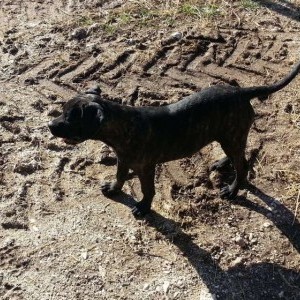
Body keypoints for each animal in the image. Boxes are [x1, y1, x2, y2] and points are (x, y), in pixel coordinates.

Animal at [48, 62, 298, 218]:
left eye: (70, 117)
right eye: (63, 112)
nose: (49, 125)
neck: (123, 124)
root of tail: (240, 92)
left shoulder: (146, 168)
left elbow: (148, 190)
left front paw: (144, 208)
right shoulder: (123, 159)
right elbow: (119, 176)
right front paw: (113, 188)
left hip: (232, 135)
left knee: (242, 165)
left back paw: (232, 190)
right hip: (227, 136)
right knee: (237, 156)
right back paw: (220, 163)